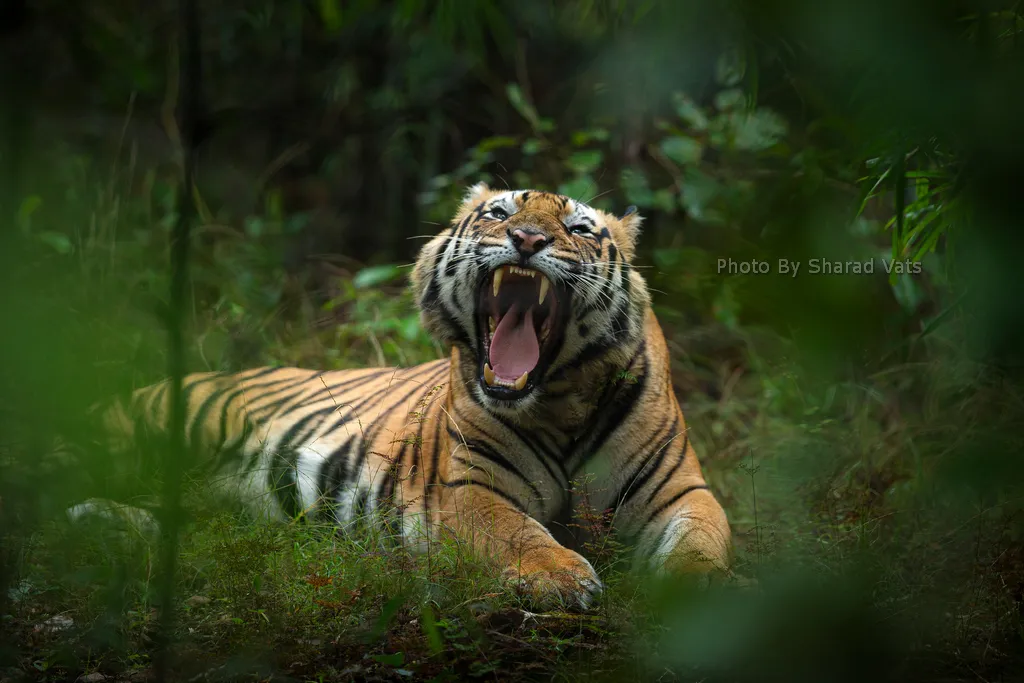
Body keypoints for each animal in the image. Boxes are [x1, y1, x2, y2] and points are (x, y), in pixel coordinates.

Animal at [68, 185, 733, 610]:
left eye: (577, 229)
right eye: (499, 213)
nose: (526, 238)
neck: (559, 399)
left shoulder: (680, 489)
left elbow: (702, 539)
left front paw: (698, 592)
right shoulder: (466, 490)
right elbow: (517, 532)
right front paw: (563, 578)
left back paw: (108, 526)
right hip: (143, 434)